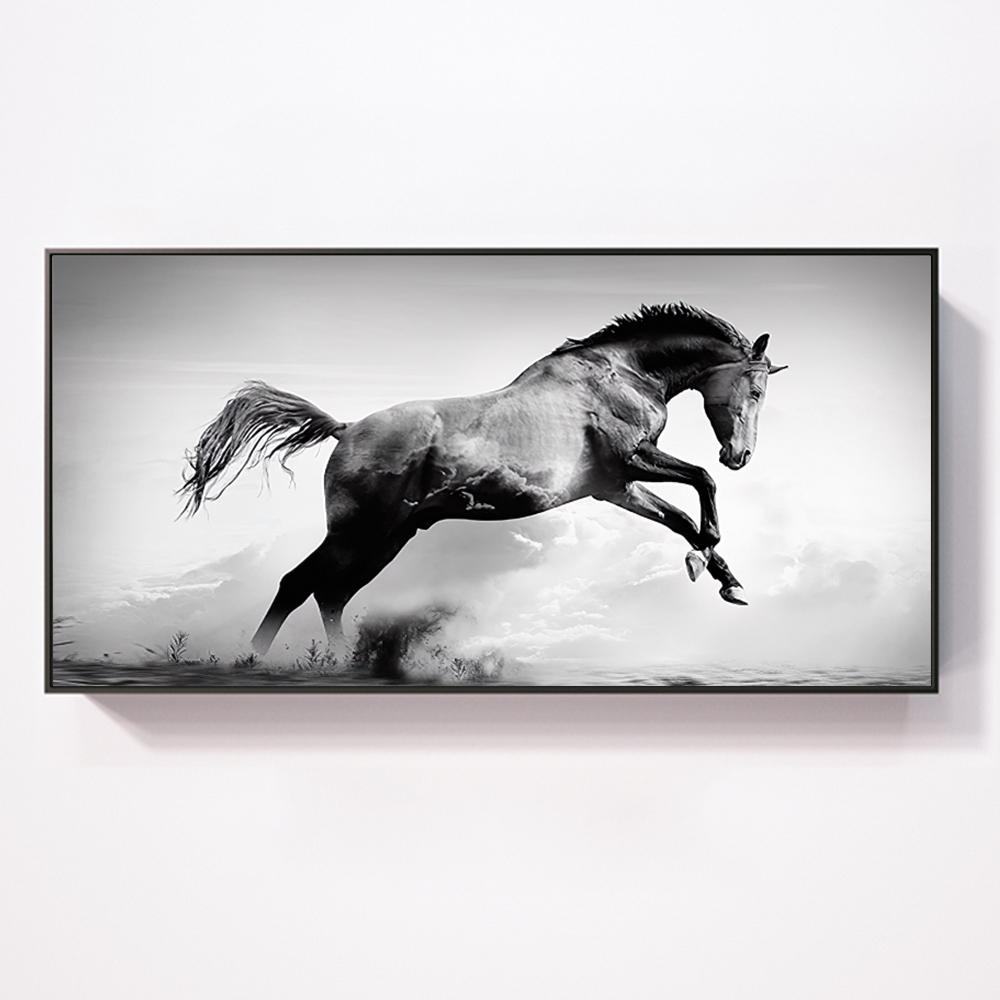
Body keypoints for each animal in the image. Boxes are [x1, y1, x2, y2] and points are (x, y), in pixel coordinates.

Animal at [178, 301, 786, 657]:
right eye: (755, 390)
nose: (740, 455)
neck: (622, 375)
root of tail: (346, 430)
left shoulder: (614, 487)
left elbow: (682, 516)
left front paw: (725, 579)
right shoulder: (633, 461)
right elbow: (702, 485)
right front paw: (707, 559)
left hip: (389, 538)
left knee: (328, 592)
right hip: (360, 533)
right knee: (299, 584)